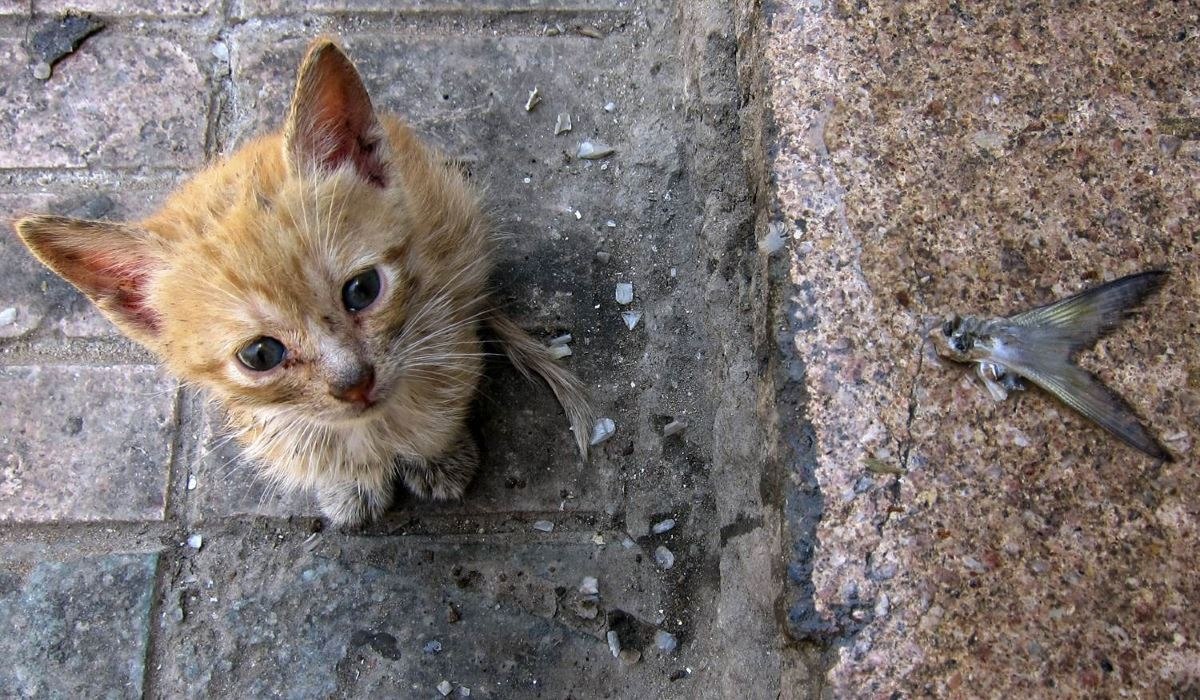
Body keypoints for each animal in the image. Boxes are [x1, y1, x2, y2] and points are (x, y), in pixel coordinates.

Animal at [9, 38, 590, 528]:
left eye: (362, 290)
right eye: (261, 354)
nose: (354, 383)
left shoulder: (446, 324)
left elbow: (443, 401)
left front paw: (437, 455)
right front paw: (351, 483)